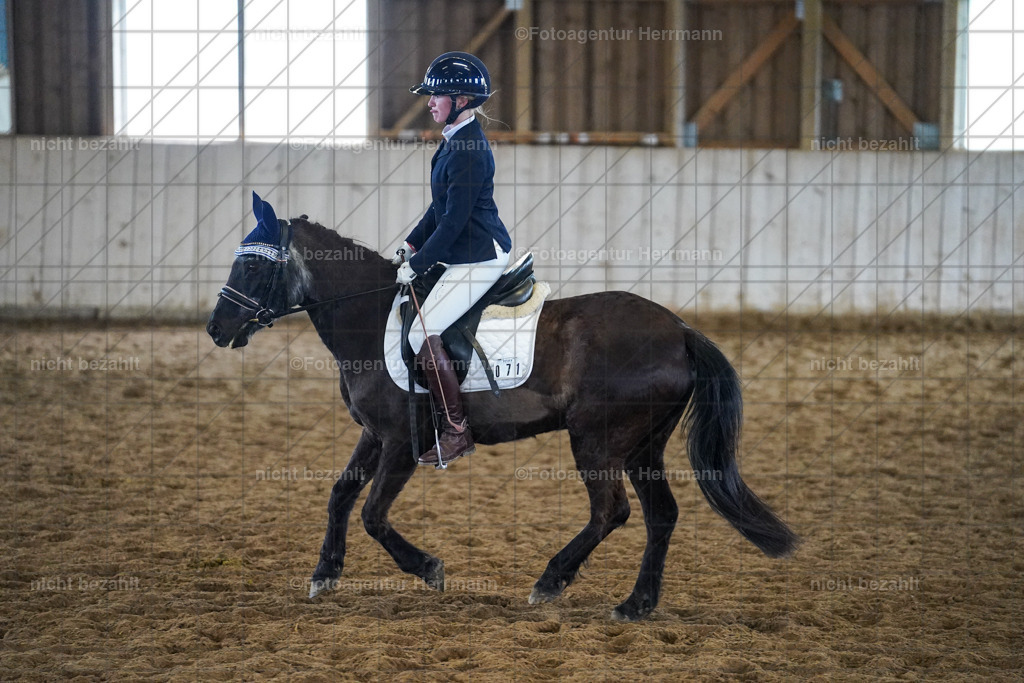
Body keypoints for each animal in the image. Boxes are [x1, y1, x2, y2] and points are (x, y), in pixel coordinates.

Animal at [206, 212, 799, 622]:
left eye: (253, 264)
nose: (216, 329)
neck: (370, 318)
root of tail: (678, 329)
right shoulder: (375, 435)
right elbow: (339, 494)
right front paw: (324, 573)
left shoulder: (401, 442)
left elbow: (373, 513)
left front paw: (429, 569)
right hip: (642, 446)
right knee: (661, 515)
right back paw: (636, 604)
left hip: (598, 440)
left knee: (612, 512)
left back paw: (551, 581)